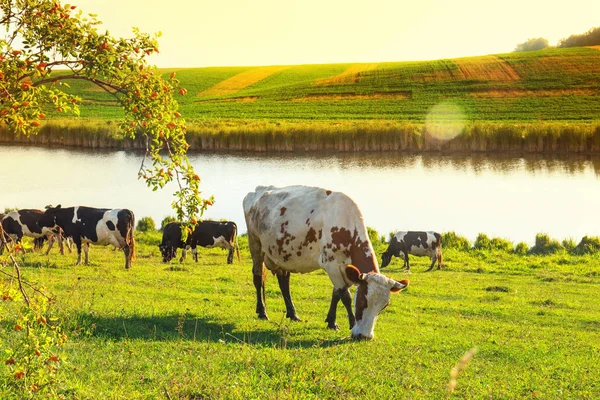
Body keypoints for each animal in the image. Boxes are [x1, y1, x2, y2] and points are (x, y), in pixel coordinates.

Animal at [243, 186, 408, 340]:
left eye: (384, 306)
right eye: (362, 300)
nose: (365, 336)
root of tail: (260, 189)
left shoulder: (345, 269)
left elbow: (336, 294)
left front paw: (331, 321)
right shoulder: (332, 265)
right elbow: (345, 296)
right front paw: (351, 323)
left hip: (283, 254)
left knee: (284, 282)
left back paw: (293, 314)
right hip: (255, 244)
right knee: (258, 278)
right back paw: (262, 312)